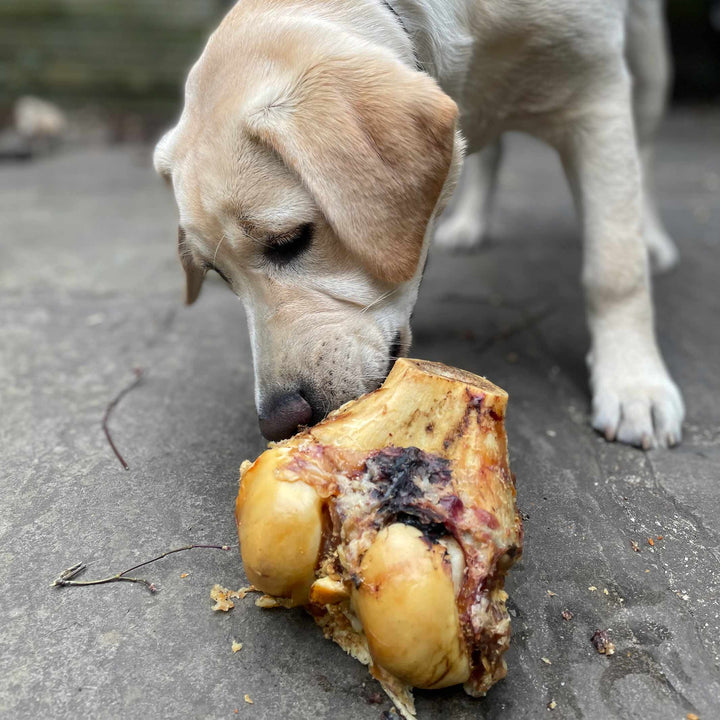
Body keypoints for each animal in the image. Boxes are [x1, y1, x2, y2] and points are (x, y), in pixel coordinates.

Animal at [155, 0, 684, 448]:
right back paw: (469, 224)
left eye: (289, 240)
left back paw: (655, 240)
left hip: (649, 61)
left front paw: (635, 384)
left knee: (646, 153)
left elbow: (615, 270)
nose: (279, 421)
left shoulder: (598, 96)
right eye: (221, 277)